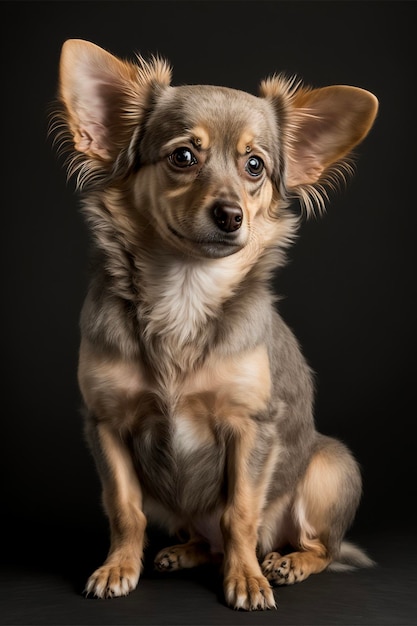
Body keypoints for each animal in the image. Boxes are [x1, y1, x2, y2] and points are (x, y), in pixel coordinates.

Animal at [52, 36, 376, 608]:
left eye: (255, 166)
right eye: (183, 156)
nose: (230, 215)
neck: (184, 291)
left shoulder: (251, 426)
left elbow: (240, 513)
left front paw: (246, 579)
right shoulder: (106, 424)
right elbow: (124, 508)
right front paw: (118, 567)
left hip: (332, 466)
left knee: (319, 546)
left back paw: (286, 562)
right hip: (178, 508)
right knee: (202, 538)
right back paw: (185, 552)